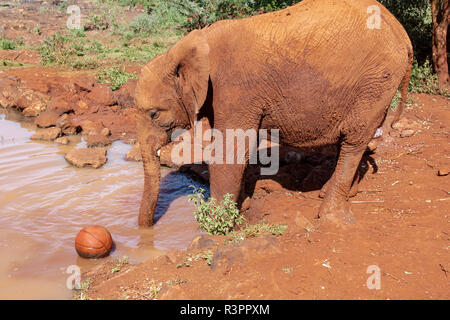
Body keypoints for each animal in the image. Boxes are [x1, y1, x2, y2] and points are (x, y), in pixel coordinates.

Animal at [134, 0, 412, 226]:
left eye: (153, 114)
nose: (146, 229)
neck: (184, 49)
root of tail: (401, 32)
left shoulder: (235, 87)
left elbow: (232, 146)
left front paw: (215, 224)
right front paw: (240, 207)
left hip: (376, 82)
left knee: (354, 139)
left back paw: (331, 215)